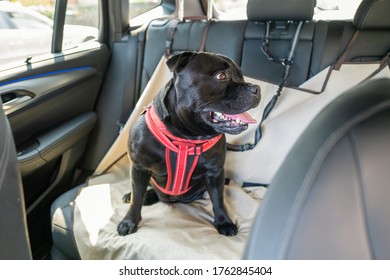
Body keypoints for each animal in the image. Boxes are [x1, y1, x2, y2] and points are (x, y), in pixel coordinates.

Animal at [117, 51, 260, 235]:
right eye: (221, 76)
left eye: (241, 76)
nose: (257, 88)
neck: (186, 138)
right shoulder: (139, 167)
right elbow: (136, 199)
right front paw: (129, 222)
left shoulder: (215, 173)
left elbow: (218, 199)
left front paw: (224, 222)